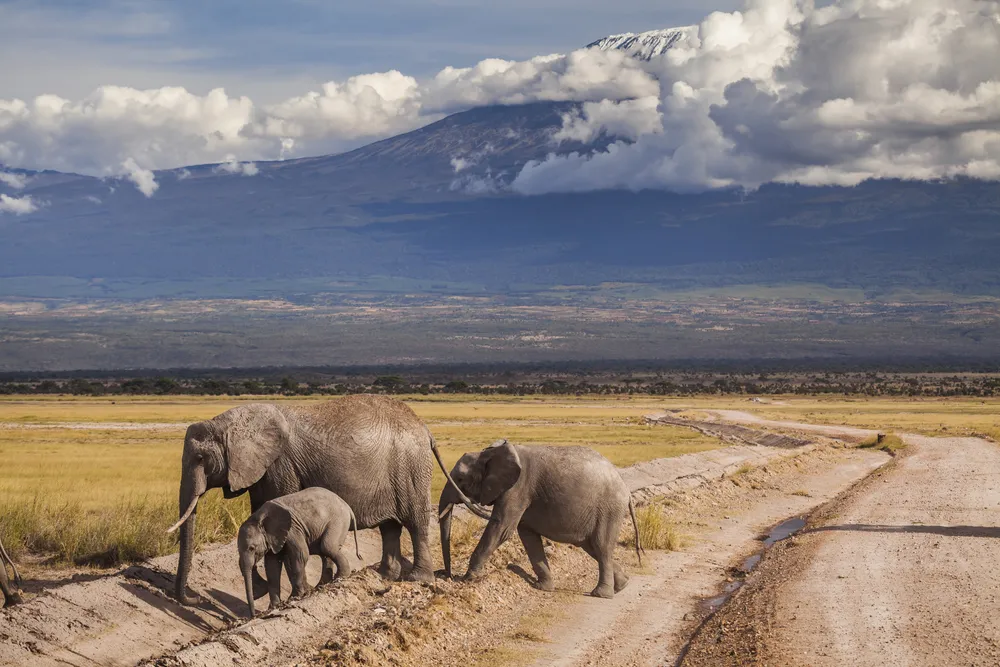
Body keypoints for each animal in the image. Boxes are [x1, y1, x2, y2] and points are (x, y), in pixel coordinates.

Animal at [238, 487, 360, 618]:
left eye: (251, 548)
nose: (254, 615)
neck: (258, 517)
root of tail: (347, 506)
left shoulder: (292, 529)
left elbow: (301, 555)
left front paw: (295, 597)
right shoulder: (273, 538)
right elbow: (272, 566)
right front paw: (274, 606)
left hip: (338, 521)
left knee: (328, 547)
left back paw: (340, 577)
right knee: (325, 553)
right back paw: (321, 585)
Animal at [438, 440, 642, 599]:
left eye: (460, 479)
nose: (447, 576)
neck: (489, 453)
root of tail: (626, 491)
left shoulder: (518, 488)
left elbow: (501, 528)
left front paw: (469, 578)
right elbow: (528, 537)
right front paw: (543, 588)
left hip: (609, 509)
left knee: (601, 546)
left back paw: (601, 594)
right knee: (591, 547)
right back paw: (622, 585)